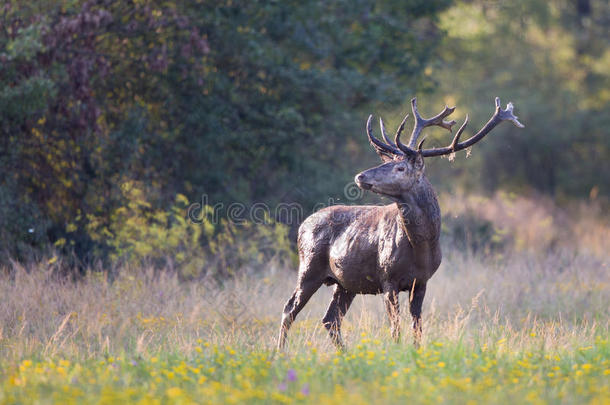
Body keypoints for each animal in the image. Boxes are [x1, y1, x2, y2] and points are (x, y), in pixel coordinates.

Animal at [276, 96, 524, 348]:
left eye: (400, 167)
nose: (360, 176)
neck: (421, 246)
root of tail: (302, 225)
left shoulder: (421, 282)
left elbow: (417, 327)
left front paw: (415, 352)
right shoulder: (388, 279)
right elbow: (395, 329)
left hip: (345, 282)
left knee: (330, 318)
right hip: (309, 268)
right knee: (289, 309)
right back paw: (280, 351)